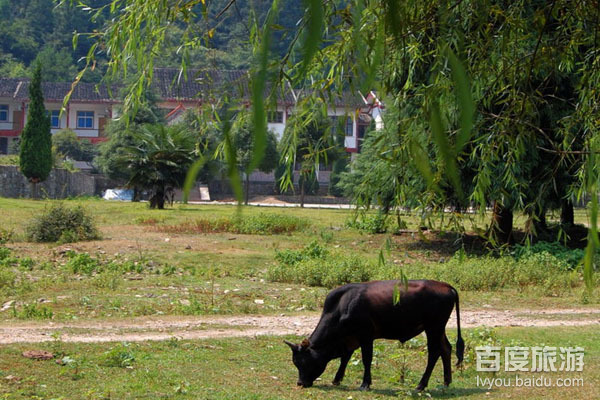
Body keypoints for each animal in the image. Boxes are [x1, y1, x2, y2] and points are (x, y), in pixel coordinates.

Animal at [284, 278, 464, 390]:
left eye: (304, 362)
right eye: (295, 363)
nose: (300, 383)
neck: (342, 307)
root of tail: (446, 286)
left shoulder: (366, 336)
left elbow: (366, 359)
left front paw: (365, 384)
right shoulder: (350, 339)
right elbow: (345, 357)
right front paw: (337, 379)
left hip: (433, 327)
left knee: (434, 352)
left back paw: (421, 385)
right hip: (438, 328)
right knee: (446, 349)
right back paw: (446, 382)